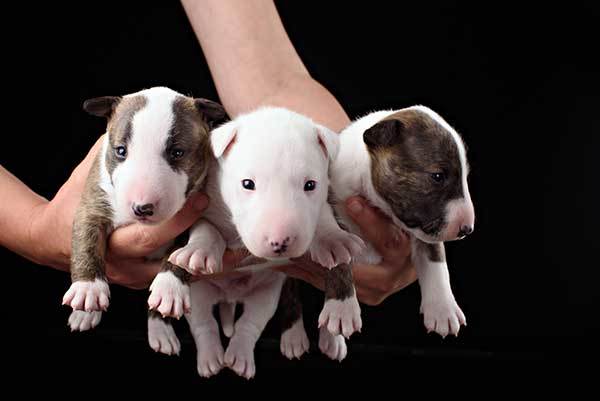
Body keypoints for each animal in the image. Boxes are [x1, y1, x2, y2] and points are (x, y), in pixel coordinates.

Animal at [147, 107, 364, 378]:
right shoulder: (203, 205)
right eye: (247, 184)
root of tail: (231, 296)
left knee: (250, 323)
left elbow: (325, 221)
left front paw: (334, 242)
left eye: (310, 185)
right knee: (204, 323)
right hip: (199, 294)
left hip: (265, 295)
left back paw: (245, 354)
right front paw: (198, 251)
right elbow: (207, 230)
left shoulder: (327, 203)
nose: (279, 242)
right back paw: (212, 357)